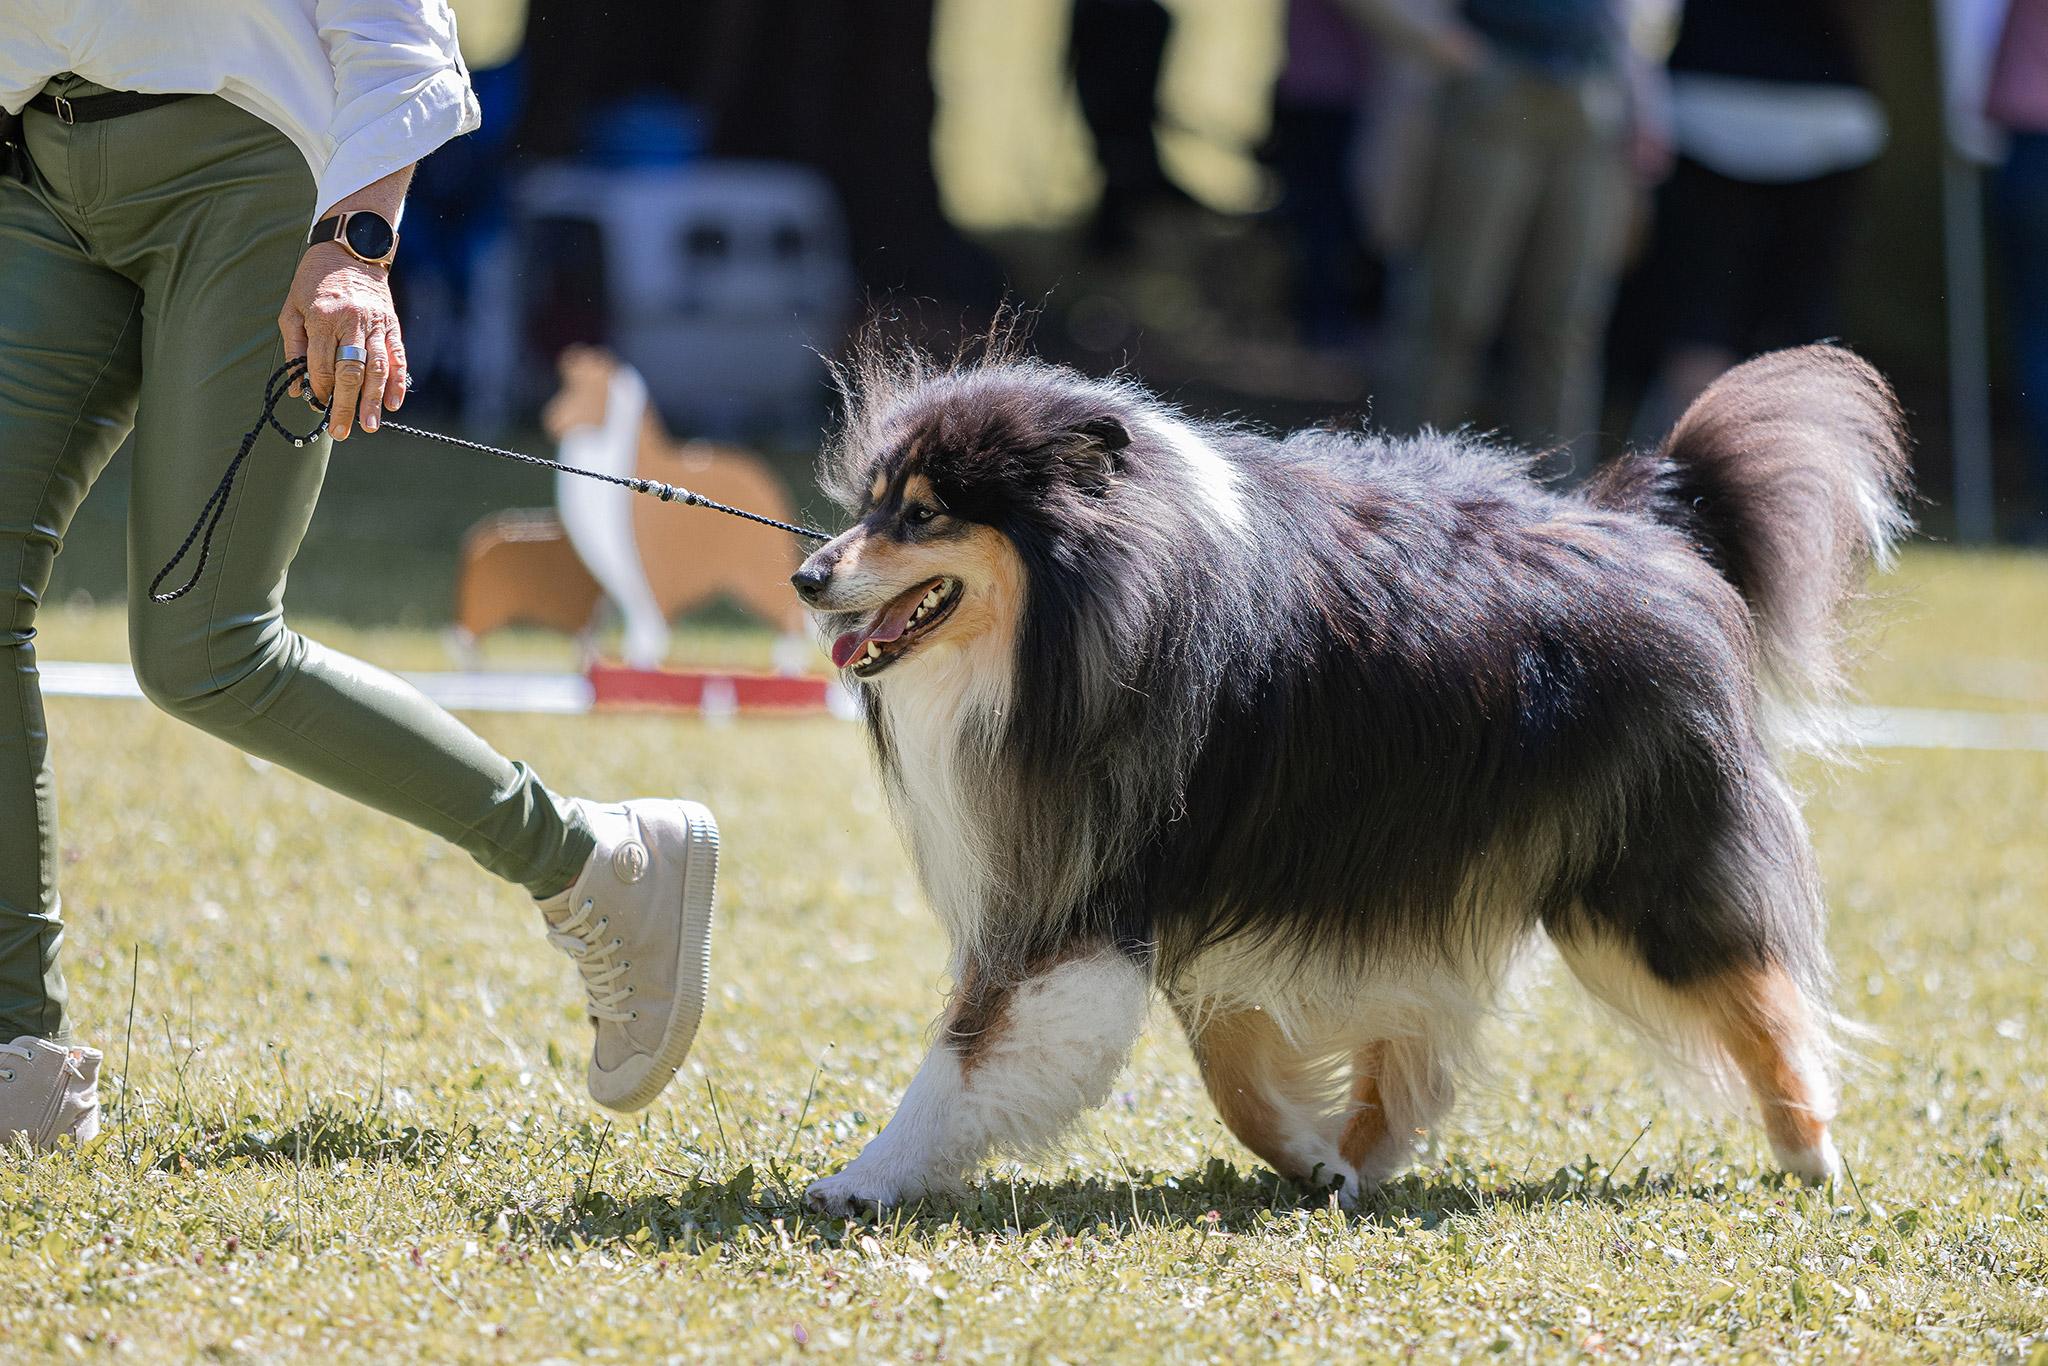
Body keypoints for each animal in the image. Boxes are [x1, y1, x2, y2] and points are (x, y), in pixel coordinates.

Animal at [790, 342, 1908, 1220]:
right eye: (871, 502)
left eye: (924, 514)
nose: (805, 577)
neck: (1092, 608)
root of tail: (1646, 524)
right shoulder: (1209, 884)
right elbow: (1234, 1071)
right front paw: (1314, 1157)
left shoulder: (1084, 888)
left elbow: (969, 1054)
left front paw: (864, 1178)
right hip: (1422, 868)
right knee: (1413, 1044)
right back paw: (1358, 1161)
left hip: (1634, 876)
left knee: (1758, 995)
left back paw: (1811, 1153)